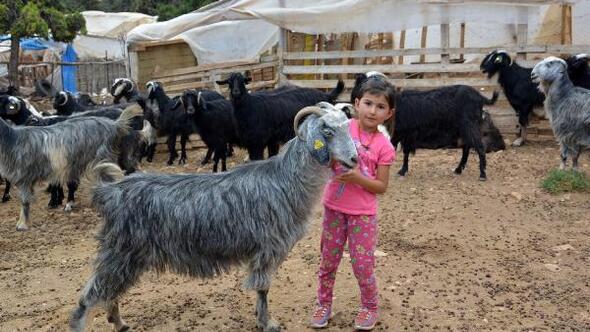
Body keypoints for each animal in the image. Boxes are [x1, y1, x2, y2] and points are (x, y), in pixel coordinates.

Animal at [0, 105, 142, 230]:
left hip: (102, 160)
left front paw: (22, 225)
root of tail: (115, 125)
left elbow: (25, 202)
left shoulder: (25, 178)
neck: (12, 140)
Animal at [71, 102, 360, 330]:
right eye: (328, 131)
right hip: (120, 251)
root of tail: (110, 191)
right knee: (88, 298)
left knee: (109, 293)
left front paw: (260, 317)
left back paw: (119, 323)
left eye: (347, 127)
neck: (285, 181)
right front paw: (267, 323)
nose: (355, 159)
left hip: (125, 256)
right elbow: (263, 288)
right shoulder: (268, 248)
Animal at [217, 73, 346, 161]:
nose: (236, 92)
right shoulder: (265, 140)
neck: (249, 106)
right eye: (229, 82)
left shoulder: (257, 142)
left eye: (242, 81)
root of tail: (326, 95)